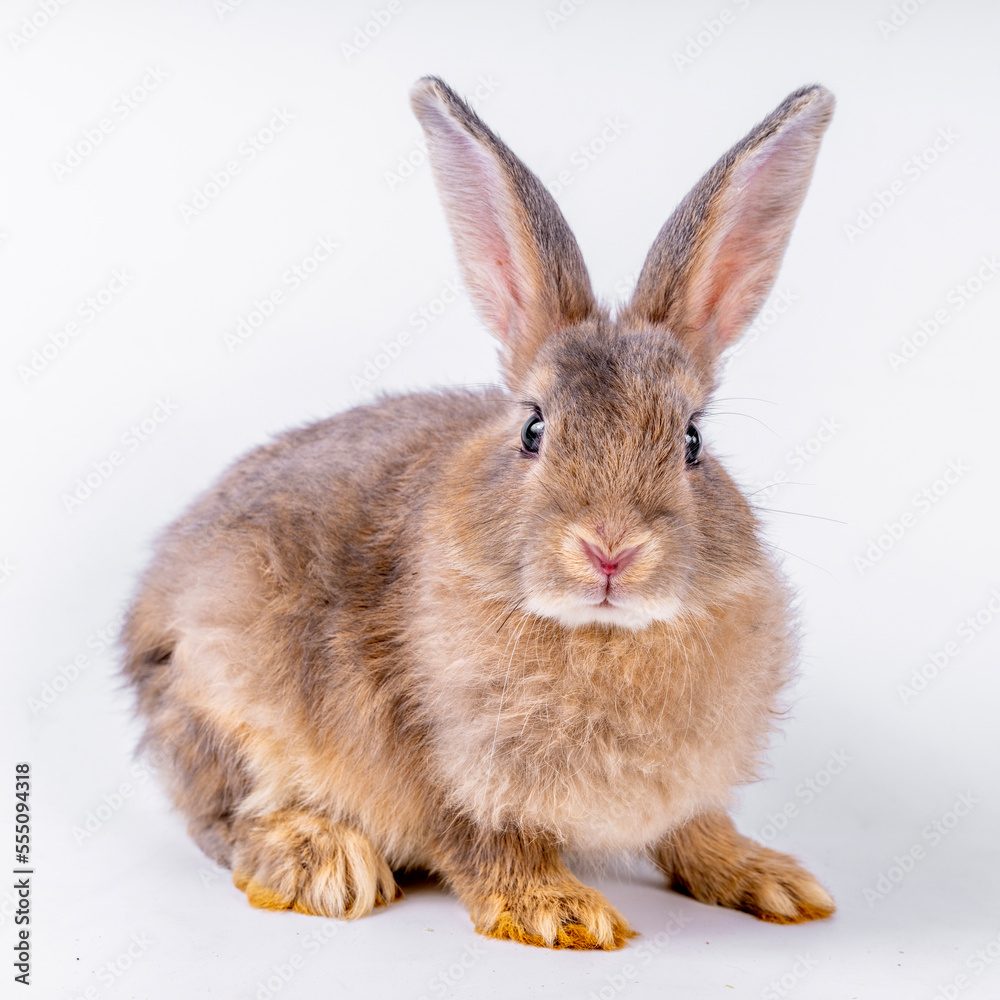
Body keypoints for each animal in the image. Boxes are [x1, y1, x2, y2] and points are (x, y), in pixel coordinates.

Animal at [122, 76, 836, 950]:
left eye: (693, 441)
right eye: (533, 428)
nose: (610, 549)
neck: (601, 633)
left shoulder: (687, 789)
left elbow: (696, 829)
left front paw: (771, 881)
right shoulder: (439, 758)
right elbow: (485, 840)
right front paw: (560, 913)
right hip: (223, 690)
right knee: (222, 819)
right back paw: (322, 859)